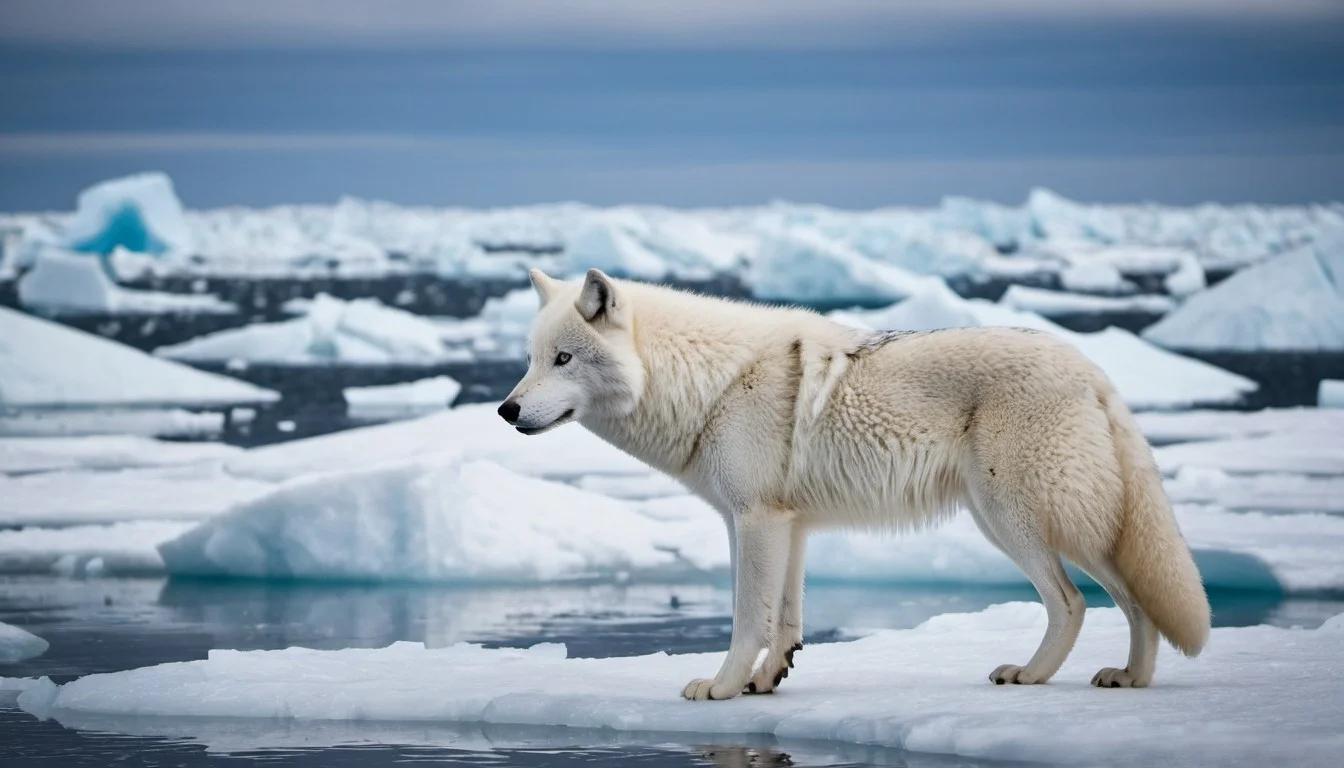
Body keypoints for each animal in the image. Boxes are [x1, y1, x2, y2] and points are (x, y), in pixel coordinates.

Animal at [499, 268, 1211, 700]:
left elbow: (747, 618)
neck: (708, 383)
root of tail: (1090, 367)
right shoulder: (786, 525)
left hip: (1018, 521)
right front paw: (767, 682)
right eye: (531, 360)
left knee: (1074, 602)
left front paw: (721, 688)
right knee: (1135, 600)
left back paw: (1032, 675)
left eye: (565, 358)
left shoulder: (754, 520)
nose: (505, 410)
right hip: (1048, 527)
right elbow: (785, 620)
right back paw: (1131, 678)